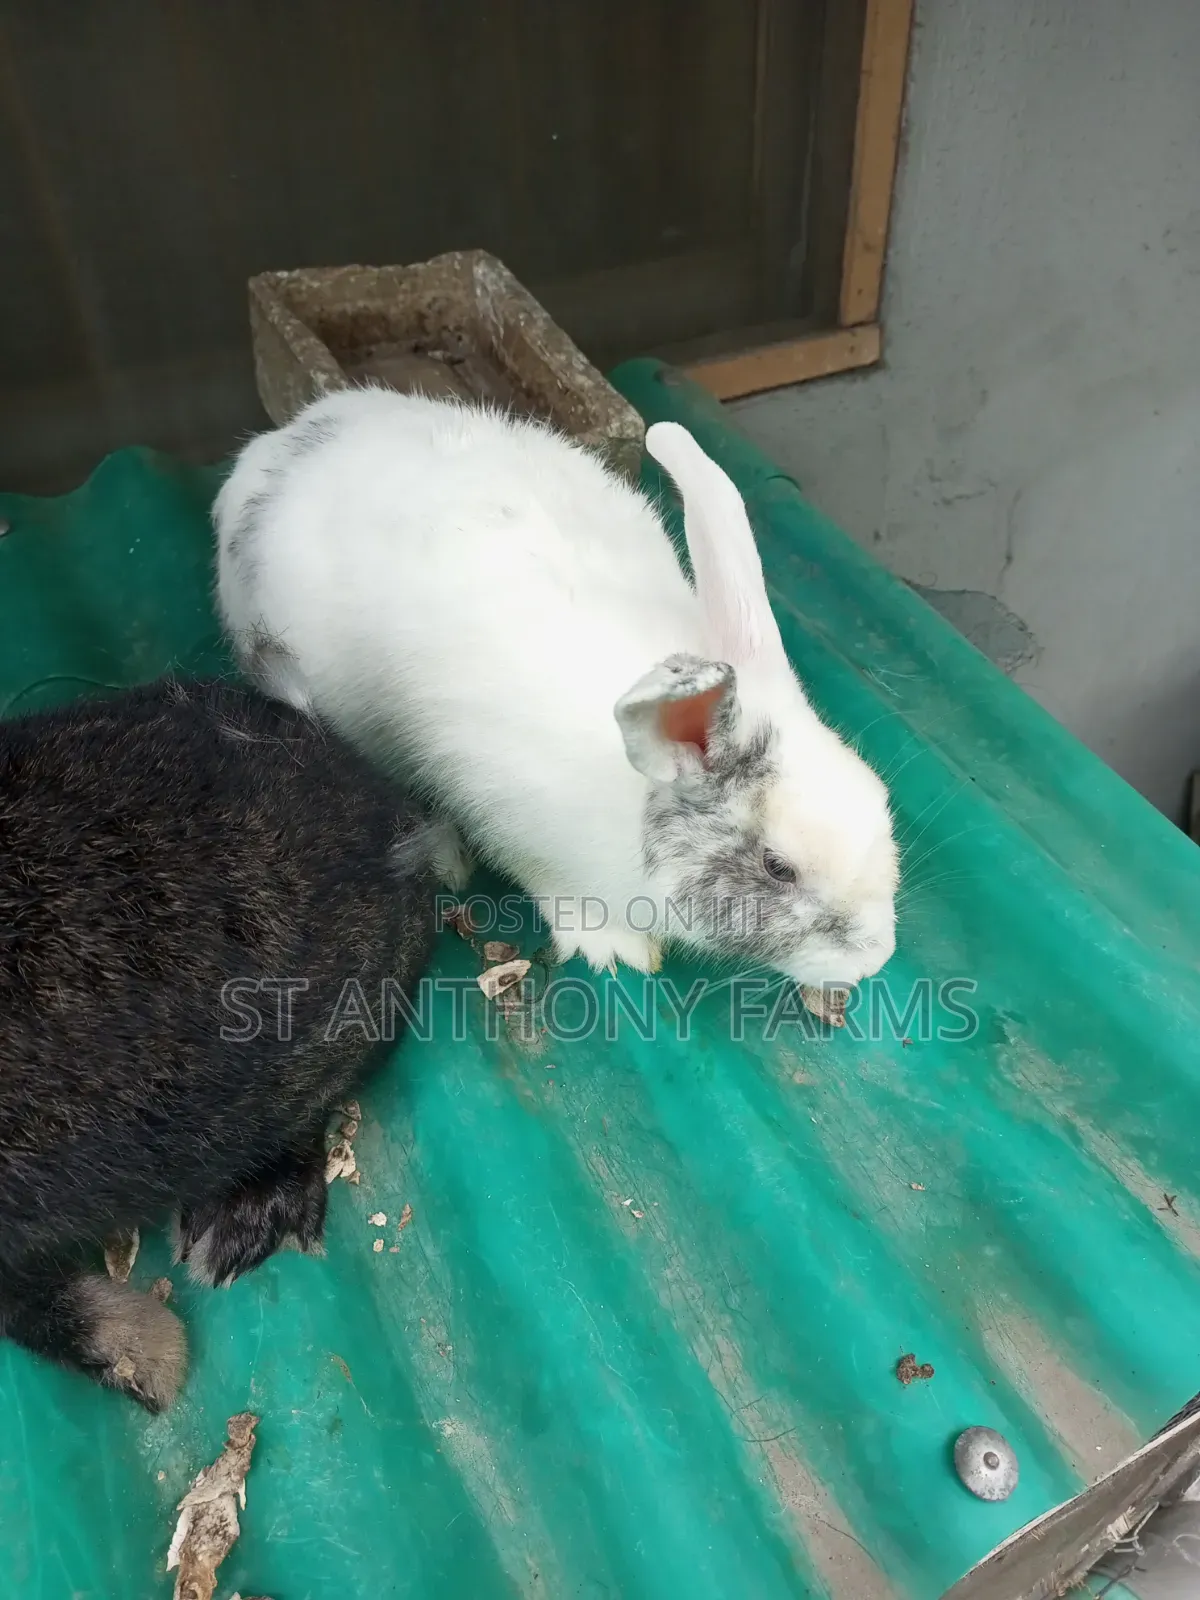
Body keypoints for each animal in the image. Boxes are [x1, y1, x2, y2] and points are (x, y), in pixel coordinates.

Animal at [215, 389, 898, 988]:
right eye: (779, 869)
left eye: (882, 802)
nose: (875, 962)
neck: (636, 786)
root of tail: (269, 453)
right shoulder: (508, 818)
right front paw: (613, 946)